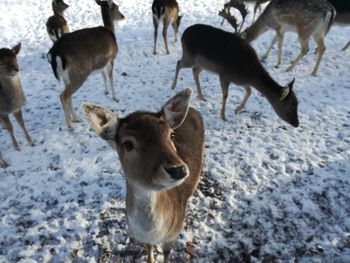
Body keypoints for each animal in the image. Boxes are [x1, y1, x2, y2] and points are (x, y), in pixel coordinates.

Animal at [47, 0, 125, 130]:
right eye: (117, 7)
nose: (123, 16)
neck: (110, 30)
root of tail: (55, 53)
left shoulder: (101, 63)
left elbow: (103, 75)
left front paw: (106, 91)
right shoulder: (111, 58)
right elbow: (111, 77)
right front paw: (115, 97)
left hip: (67, 76)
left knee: (68, 95)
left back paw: (76, 118)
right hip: (79, 74)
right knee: (64, 95)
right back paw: (70, 125)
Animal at [80, 89, 204, 263]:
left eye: (172, 135)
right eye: (127, 144)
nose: (178, 170)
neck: (153, 232)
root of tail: (193, 109)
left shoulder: (173, 235)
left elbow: (166, 255)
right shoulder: (142, 238)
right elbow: (149, 251)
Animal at [171, 23, 300, 128]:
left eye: (297, 104)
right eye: (290, 107)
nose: (297, 123)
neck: (249, 72)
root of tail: (184, 33)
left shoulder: (241, 81)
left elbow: (249, 91)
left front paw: (237, 110)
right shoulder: (224, 75)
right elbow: (225, 95)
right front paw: (223, 116)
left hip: (201, 64)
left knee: (195, 71)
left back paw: (201, 96)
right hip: (189, 56)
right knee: (178, 63)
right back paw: (173, 86)